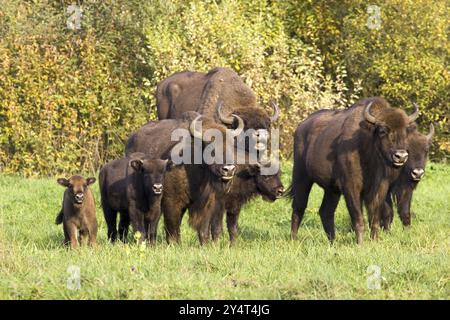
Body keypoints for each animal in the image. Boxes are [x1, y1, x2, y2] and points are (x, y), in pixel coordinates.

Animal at [288, 97, 418, 242]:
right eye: (383, 131)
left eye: (405, 132)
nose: (401, 156)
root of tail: (301, 126)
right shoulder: (351, 187)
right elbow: (358, 218)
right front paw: (360, 243)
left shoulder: (379, 188)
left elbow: (374, 218)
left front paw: (375, 241)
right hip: (301, 177)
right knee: (299, 207)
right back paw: (293, 239)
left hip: (331, 190)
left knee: (326, 211)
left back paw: (332, 241)